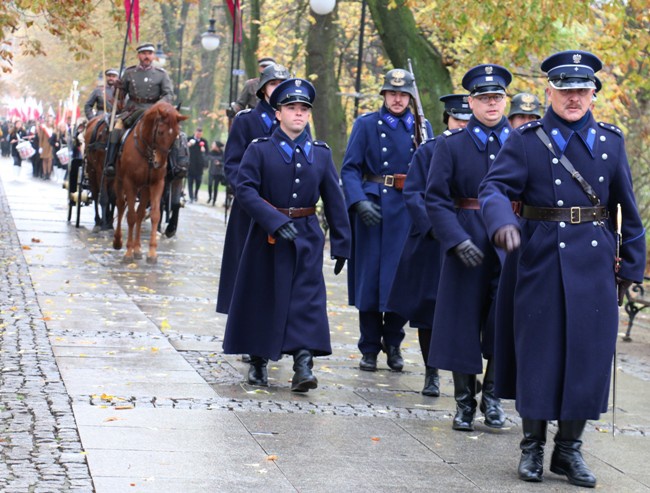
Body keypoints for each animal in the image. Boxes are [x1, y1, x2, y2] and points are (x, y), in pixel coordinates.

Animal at [110, 99, 187, 262]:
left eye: (175, 136)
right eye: (160, 132)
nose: (159, 163)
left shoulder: (157, 184)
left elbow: (155, 214)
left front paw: (151, 252)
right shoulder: (130, 183)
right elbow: (130, 216)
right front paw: (128, 251)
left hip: (145, 188)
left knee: (140, 213)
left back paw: (138, 248)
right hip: (119, 181)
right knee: (120, 206)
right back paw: (118, 241)